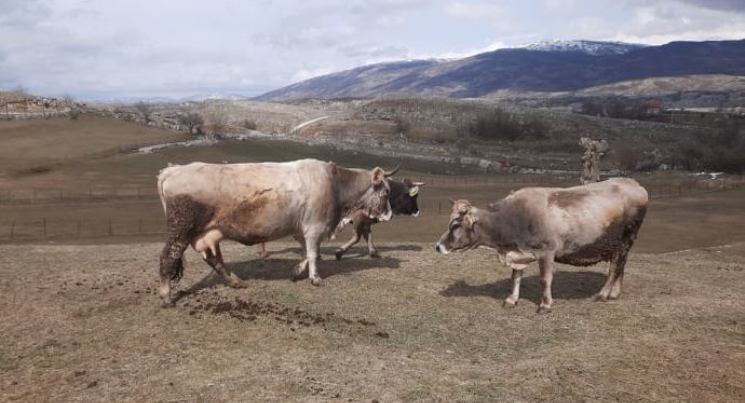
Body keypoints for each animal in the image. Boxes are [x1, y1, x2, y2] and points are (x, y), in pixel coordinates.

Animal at [156, 159, 395, 305]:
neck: (334, 184)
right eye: (385, 192)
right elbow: (313, 254)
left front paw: (297, 271)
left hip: (208, 233)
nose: (390, 215)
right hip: (180, 229)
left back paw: (236, 281)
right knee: (168, 257)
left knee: (214, 259)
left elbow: (306, 253)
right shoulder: (315, 228)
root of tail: (173, 170)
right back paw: (166, 296)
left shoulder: (302, 230)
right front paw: (315, 278)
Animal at [435, 178, 648, 312]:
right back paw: (615, 293)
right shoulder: (518, 253)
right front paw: (511, 299)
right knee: (620, 265)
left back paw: (603, 294)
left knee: (615, 267)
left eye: (455, 225)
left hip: (624, 239)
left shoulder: (546, 252)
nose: (438, 246)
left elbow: (545, 279)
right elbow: (515, 277)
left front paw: (545, 305)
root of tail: (634, 184)